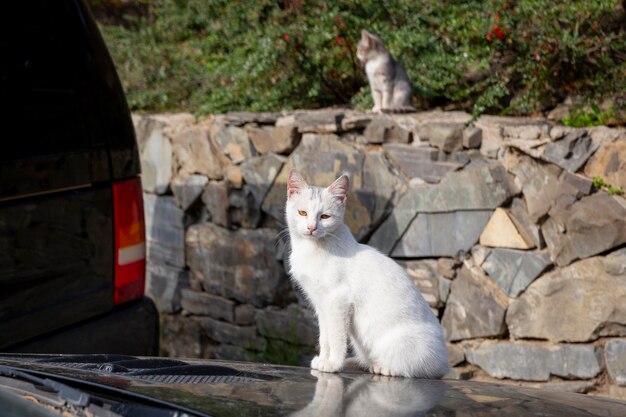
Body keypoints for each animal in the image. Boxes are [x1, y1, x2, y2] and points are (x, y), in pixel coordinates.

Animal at [282, 169, 448, 376]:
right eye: (302, 213)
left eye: (325, 217)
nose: (312, 227)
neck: (313, 248)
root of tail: (445, 361)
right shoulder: (321, 304)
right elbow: (325, 337)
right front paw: (324, 359)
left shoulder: (339, 300)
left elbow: (336, 337)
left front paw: (333, 364)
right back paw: (359, 363)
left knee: (417, 368)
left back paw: (383, 367)